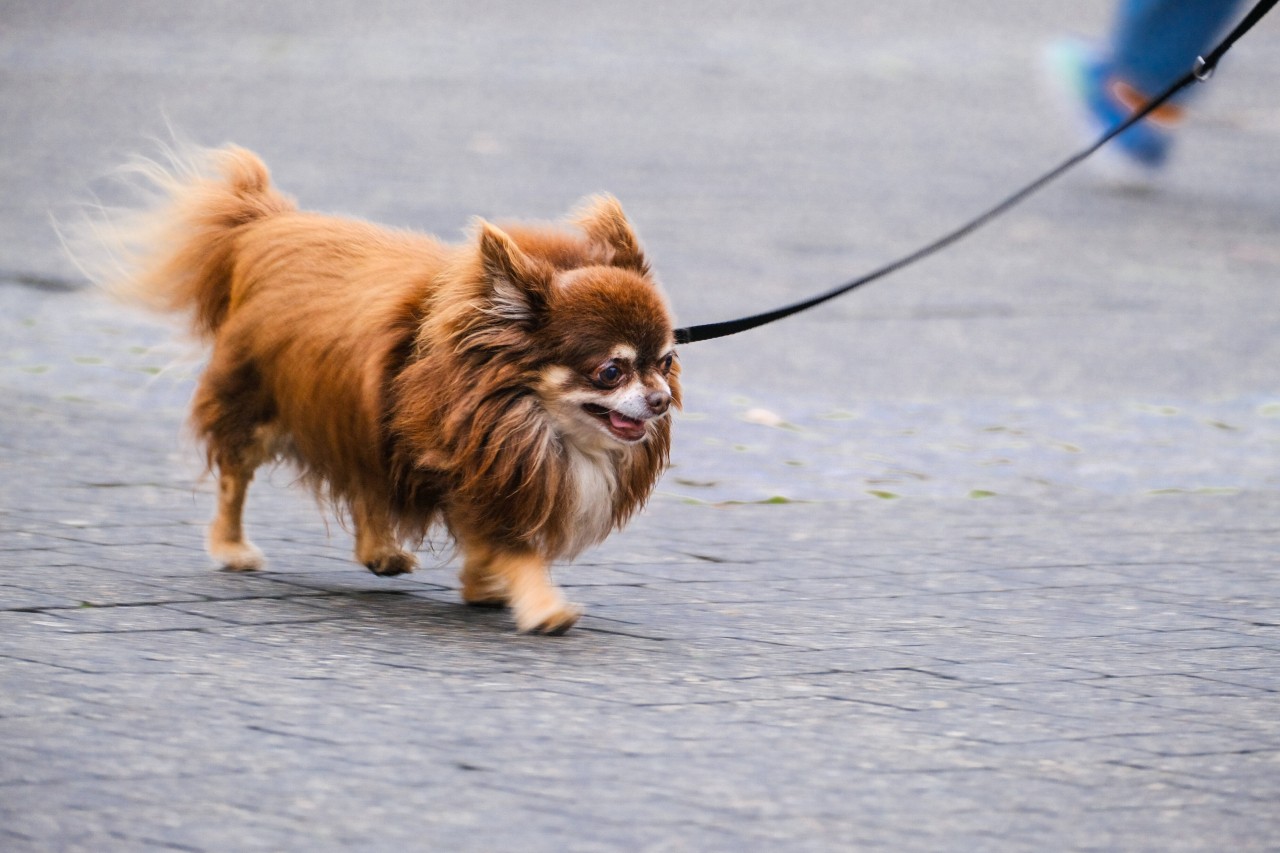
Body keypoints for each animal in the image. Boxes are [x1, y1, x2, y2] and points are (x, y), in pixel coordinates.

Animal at [93, 144, 675, 630]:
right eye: (611, 371)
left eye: (666, 362)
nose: (661, 400)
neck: (532, 416)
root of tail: (264, 226)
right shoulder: (468, 471)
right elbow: (511, 548)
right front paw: (542, 606)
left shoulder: (469, 469)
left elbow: (484, 542)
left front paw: (484, 588)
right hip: (261, 411)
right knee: (235, 479)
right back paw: (231, 546)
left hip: (364, 417)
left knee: (366, 488)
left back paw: (380, 553)